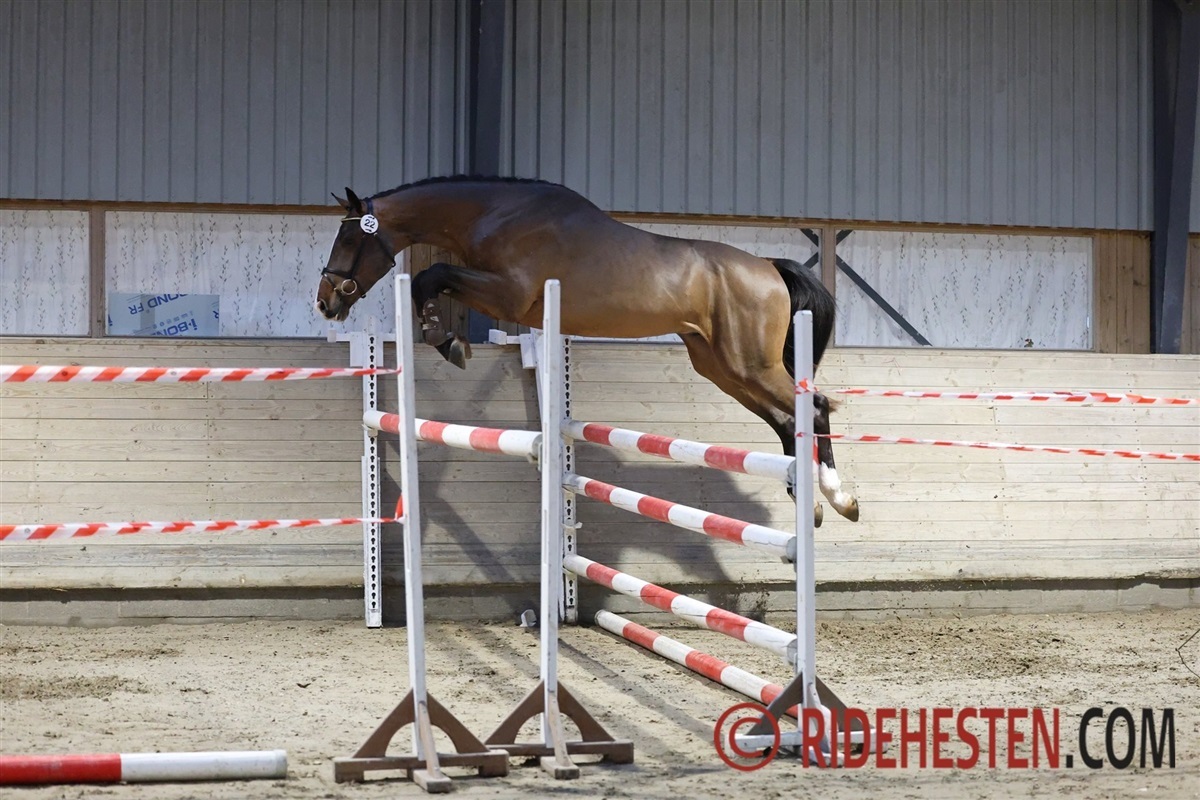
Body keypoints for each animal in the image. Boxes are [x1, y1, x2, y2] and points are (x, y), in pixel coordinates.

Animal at [315, 176, 858, 524]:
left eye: (348, 236)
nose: (325, 302)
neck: (495, 212)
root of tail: (768, 267)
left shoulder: (508, 293)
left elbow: (433, 275)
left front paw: (446, 341)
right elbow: (432, 279)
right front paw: (445, 338)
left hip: (749, 362)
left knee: (813, 406)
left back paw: (838, 497)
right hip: (719, 365)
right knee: (787, 419)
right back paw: (809, 501)